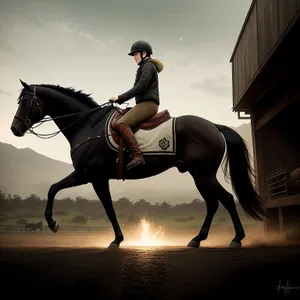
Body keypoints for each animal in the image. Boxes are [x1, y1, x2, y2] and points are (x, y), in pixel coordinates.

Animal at [10, 79, 266, 248]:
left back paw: (235, 239)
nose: (14, 128)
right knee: (214, 203)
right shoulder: (83, 174)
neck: (88, 124)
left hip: (203, 174)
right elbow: (53, 188)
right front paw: (53, 223)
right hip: (199, 175)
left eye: (26, 101)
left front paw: (117, 240)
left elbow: (109, 208)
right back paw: (198, 239)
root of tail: (213, 126)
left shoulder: (95, 177)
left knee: (226, 200)